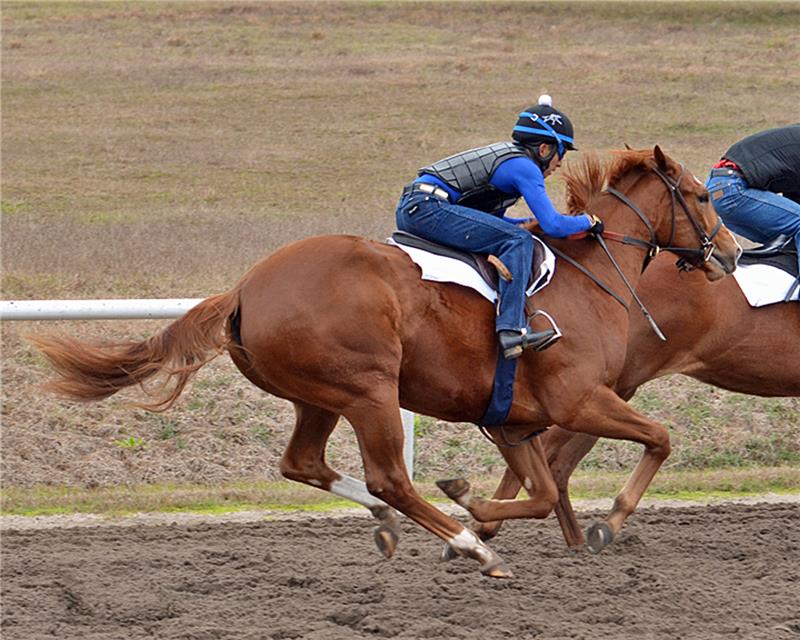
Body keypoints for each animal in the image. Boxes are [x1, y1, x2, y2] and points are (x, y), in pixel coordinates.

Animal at [28, 148, 740, 576]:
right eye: (703, 195)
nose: (731, 253)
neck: (589, 276)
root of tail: (246, 288)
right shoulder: (580, 399)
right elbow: (659, 438)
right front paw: (602, 521)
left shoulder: (513, 421)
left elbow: (540, 494)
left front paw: (472, 500)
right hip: (370, 389)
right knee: (389, 477)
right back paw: (466, 546)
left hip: (316, 394)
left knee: (304, 464)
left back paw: (403, 525)